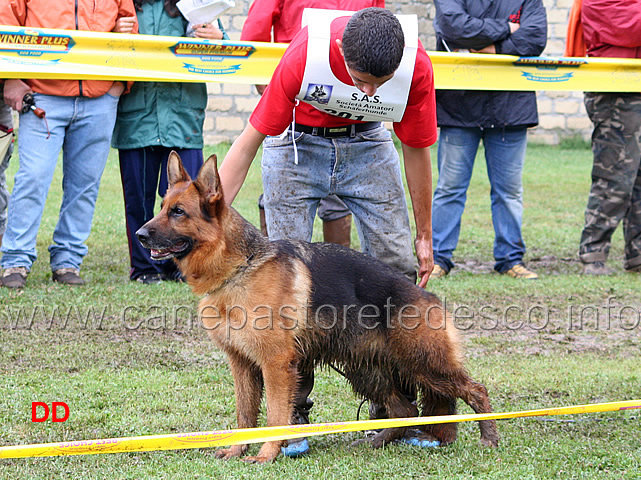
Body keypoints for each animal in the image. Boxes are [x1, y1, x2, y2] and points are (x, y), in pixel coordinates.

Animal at [138, 152, 500, 464]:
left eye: (178, 212)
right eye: (162, 207)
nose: (140, 235)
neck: (240, 268)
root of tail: (426, 293)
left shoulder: (276, 365)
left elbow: (275, 415)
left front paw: (266, 455)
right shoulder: (242, 366)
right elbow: (245, 415)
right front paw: (238, 450)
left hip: (425, 364)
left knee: (476, 390)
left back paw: (489, 437)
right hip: (370, 371)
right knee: (405, 412)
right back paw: (376, 442)